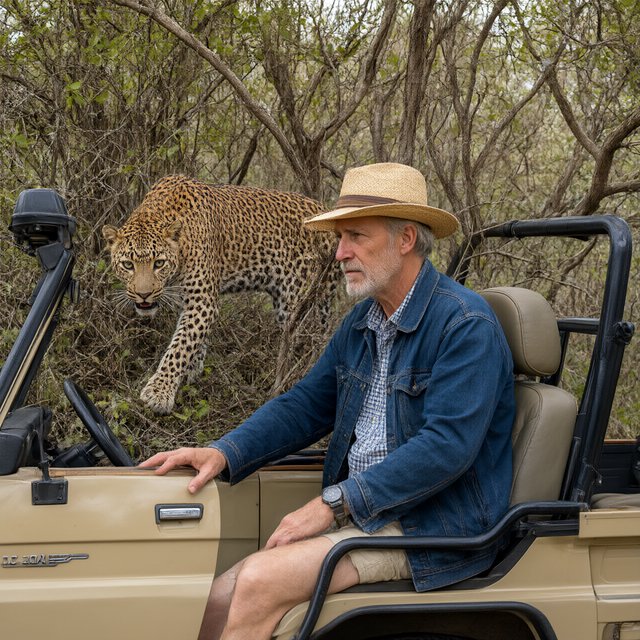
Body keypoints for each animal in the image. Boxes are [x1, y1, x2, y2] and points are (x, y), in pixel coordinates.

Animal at [102, 175, 339, 415]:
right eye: (128, 265)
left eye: (159, 263)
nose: (144, 295)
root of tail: (324, 209)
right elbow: (193, 340)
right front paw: (192, 372)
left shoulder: (202, 300)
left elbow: (180, 347)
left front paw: (160, 392)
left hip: (299, 299)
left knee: (310, 342)